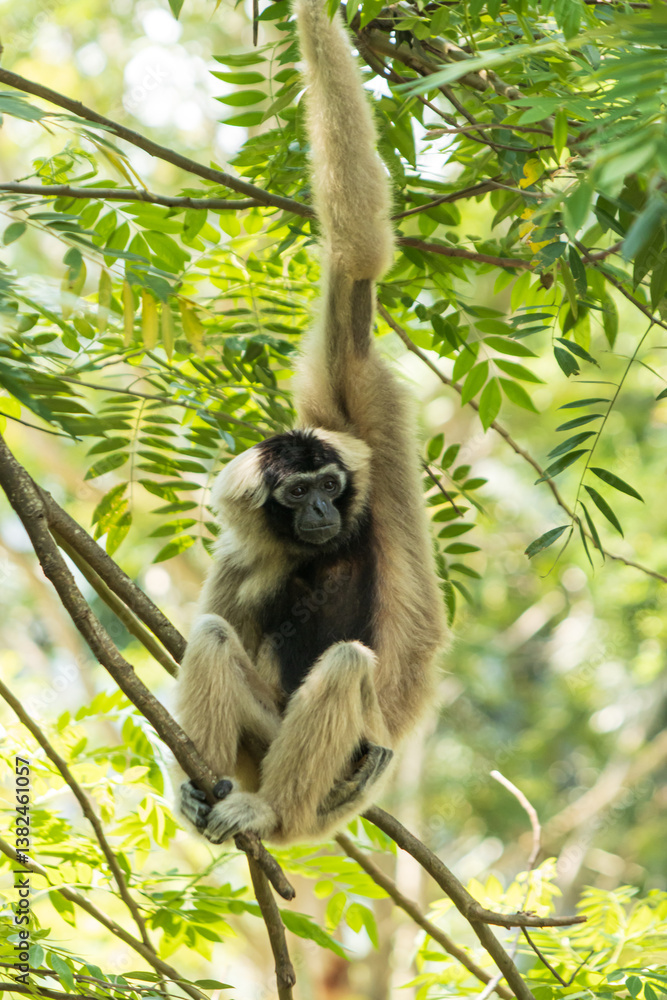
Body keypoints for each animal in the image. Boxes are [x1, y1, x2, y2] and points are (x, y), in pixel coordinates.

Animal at [175, 0, 447, 846]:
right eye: (297, 496)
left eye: (328, 483)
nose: (325, 508)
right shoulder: (240, 556)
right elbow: (213, 622)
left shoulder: (357, 420)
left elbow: (354, 263)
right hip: (258, 747)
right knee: (213, 636)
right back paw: (207, 798)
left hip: (343, 784)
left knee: (349, 667)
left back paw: (269, 813)